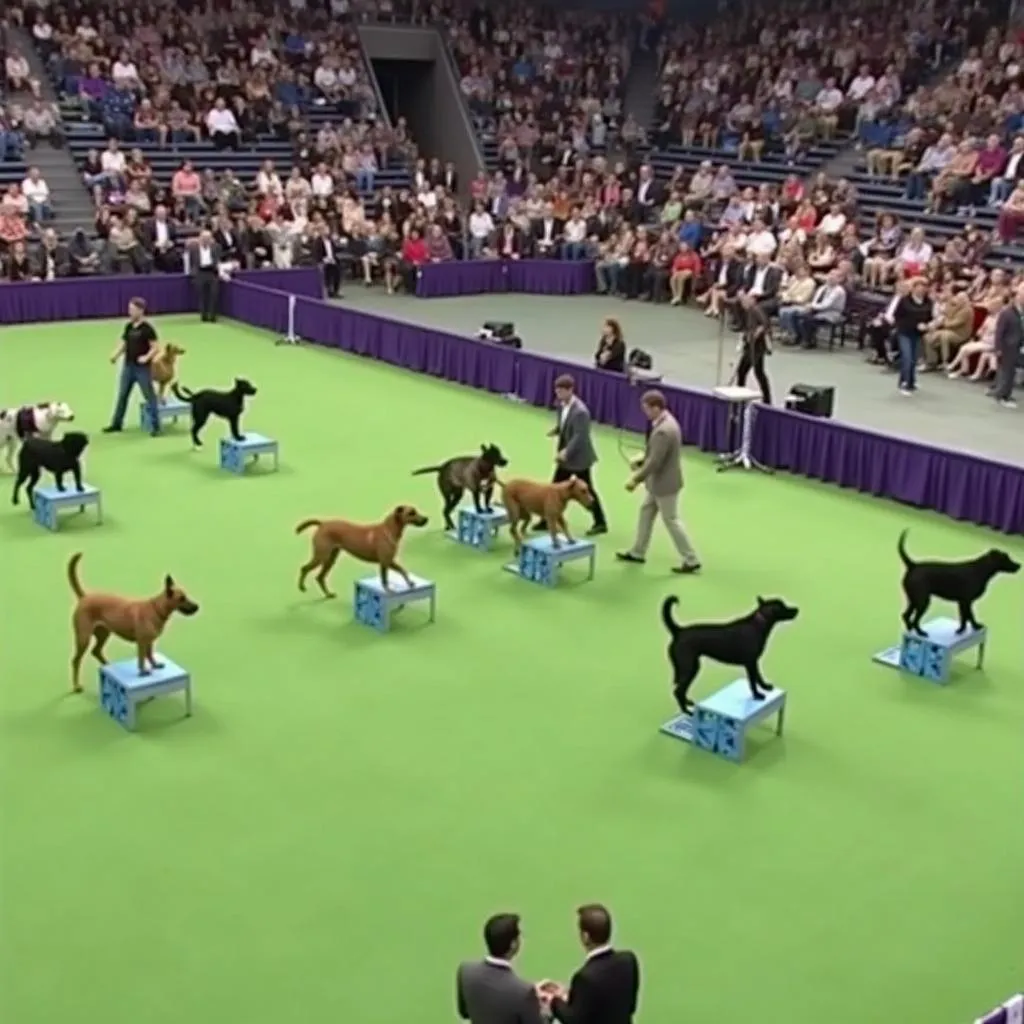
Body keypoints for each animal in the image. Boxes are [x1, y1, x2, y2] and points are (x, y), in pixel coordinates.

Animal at [67, 548, 199, 692]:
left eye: (186, 596)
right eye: (181, 598)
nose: (197, 607)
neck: (156, 609)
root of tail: (84, 597)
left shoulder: (149, 642)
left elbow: (149, 655)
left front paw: (154, 665)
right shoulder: (141, 642)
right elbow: (141, 658)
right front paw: (143, 672)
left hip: (103, 634)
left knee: (96, 651)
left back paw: (108, 666)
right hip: (83, 638)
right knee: (75, 660)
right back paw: (76, 685)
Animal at [296, 505, 428, 598]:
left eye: (415, 511)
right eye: (411, 513)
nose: (426, 519)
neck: (388, 530)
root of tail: (322, 523)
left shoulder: (390, 561)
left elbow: (403, 570)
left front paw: (410, 583)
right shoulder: (385, 562)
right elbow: (385, 579)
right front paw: (389, 590)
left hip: (330, 559)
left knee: (320, 577)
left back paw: (328, 594)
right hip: (321, 556)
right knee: (304, 568)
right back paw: (302, 587)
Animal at [663, 598, 798, 716]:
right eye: (782, 607)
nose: (796, 609)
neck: (758, 625)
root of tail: (679, 631)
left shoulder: (754, 662)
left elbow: (758, 676)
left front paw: (765, 687)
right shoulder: (750, 662)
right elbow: (753, 681)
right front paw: (757, 695)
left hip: (690, 667)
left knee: (681, 689)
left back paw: (688, 702)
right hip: (689, 668)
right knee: (678, 691)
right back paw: (687, 711)